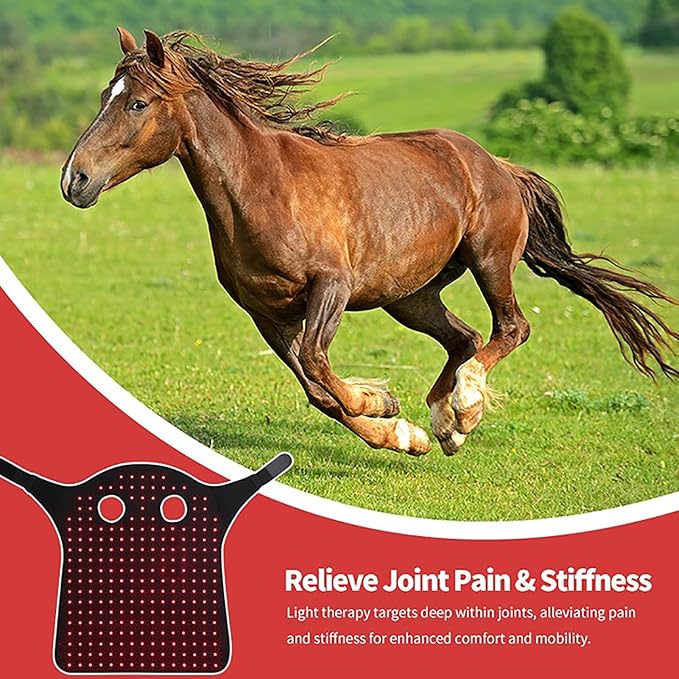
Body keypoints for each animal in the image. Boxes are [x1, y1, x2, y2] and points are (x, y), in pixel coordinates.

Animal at [61, 28, 678, 456]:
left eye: (137, 103)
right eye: (105, 94)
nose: (75, 180)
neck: (260, 188)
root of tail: (497, 164)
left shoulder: (330, 286)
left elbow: (319, 366)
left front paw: (380, 403)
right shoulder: (266, 313)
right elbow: (316, 390)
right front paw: (399, 429)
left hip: (488, 259)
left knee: (509, 328)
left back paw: (466, 406)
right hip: (409, 296)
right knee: (465, 337)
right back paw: (444, 426)